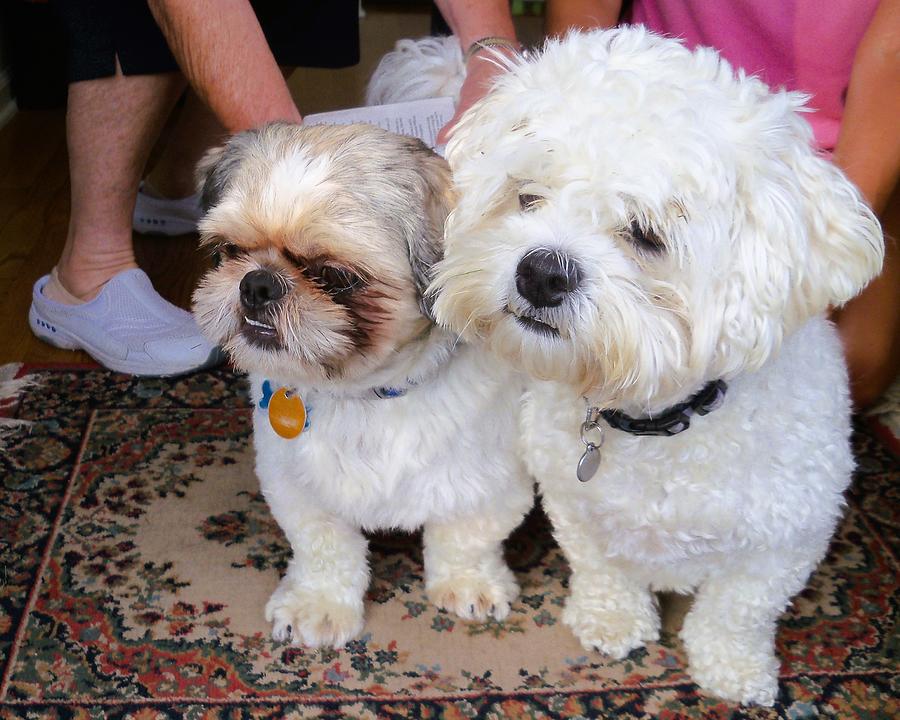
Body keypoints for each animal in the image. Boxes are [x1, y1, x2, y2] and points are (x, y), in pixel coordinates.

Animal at [426, 26, 884, 704]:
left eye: (646, 235)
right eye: (527, 197)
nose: (541, 272)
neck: (658, 420)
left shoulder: (787, 539)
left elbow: (737, 609)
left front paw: (732, 669)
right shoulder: (573, 501)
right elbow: (601, 566)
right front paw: (612, 621)